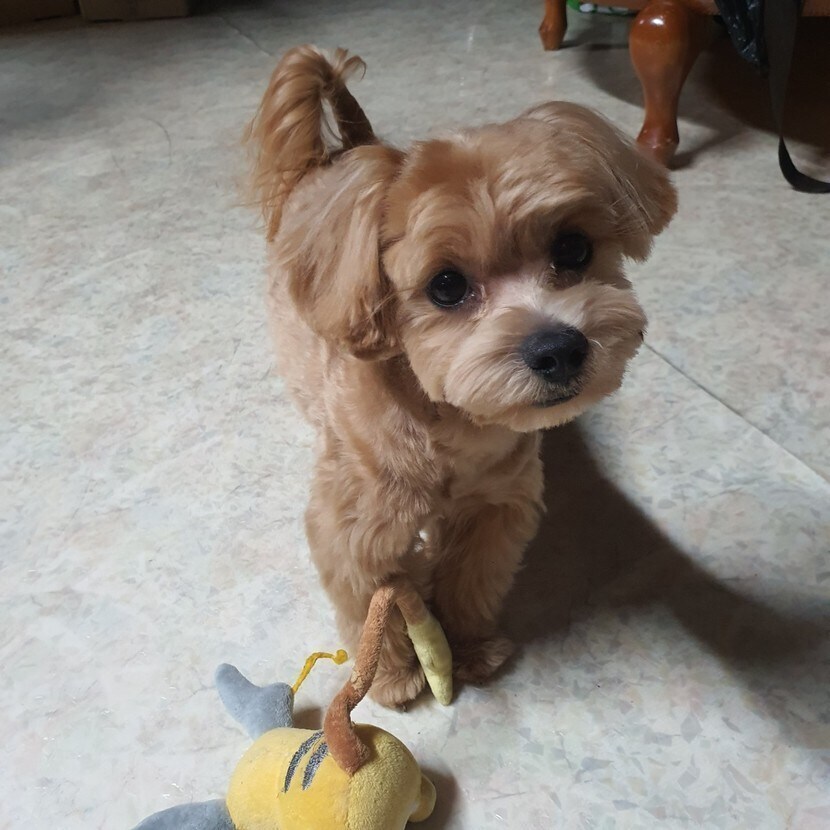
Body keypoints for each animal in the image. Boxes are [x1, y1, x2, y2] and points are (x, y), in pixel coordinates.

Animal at [246, 46, 676, 707]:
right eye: (446, 286)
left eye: (573, 248)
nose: (559, 349)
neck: (448, 422)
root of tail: (334, 158)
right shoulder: (353, 533)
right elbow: (372, 612)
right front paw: (393, 677)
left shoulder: (494, 511)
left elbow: (470, 583)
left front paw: (469, 649)